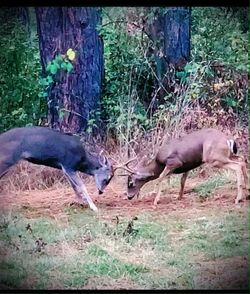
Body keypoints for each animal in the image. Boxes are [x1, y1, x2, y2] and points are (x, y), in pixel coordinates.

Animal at [115, 128, 248, 207]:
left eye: (131, 183)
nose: (129, 196)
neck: (158, 163)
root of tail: (228, 139)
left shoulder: (174, 162)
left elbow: (160, 178)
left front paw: (155, 200)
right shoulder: (187, 165)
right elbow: (182, 181)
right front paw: (179, 197)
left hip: (214, 158)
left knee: (238, 165)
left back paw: (238, 199)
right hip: (228, 155)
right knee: (242, 160)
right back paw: (246, 194)